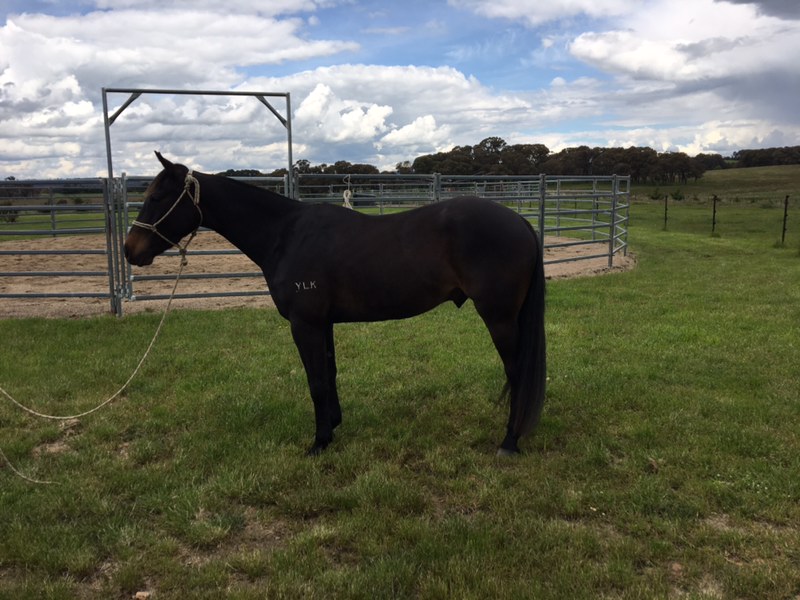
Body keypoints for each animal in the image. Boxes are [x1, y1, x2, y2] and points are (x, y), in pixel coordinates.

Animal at [124, 152, 546, 456]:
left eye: (157, 197)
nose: (130, 250)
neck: (286, 234)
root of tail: (522, 224)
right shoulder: (322, 323)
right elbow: (329, 375)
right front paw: (334, 427)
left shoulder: (305, 323)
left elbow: (315, 382)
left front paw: (319, 442)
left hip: (499, 317)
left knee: (516, 371)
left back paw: (509, 443)